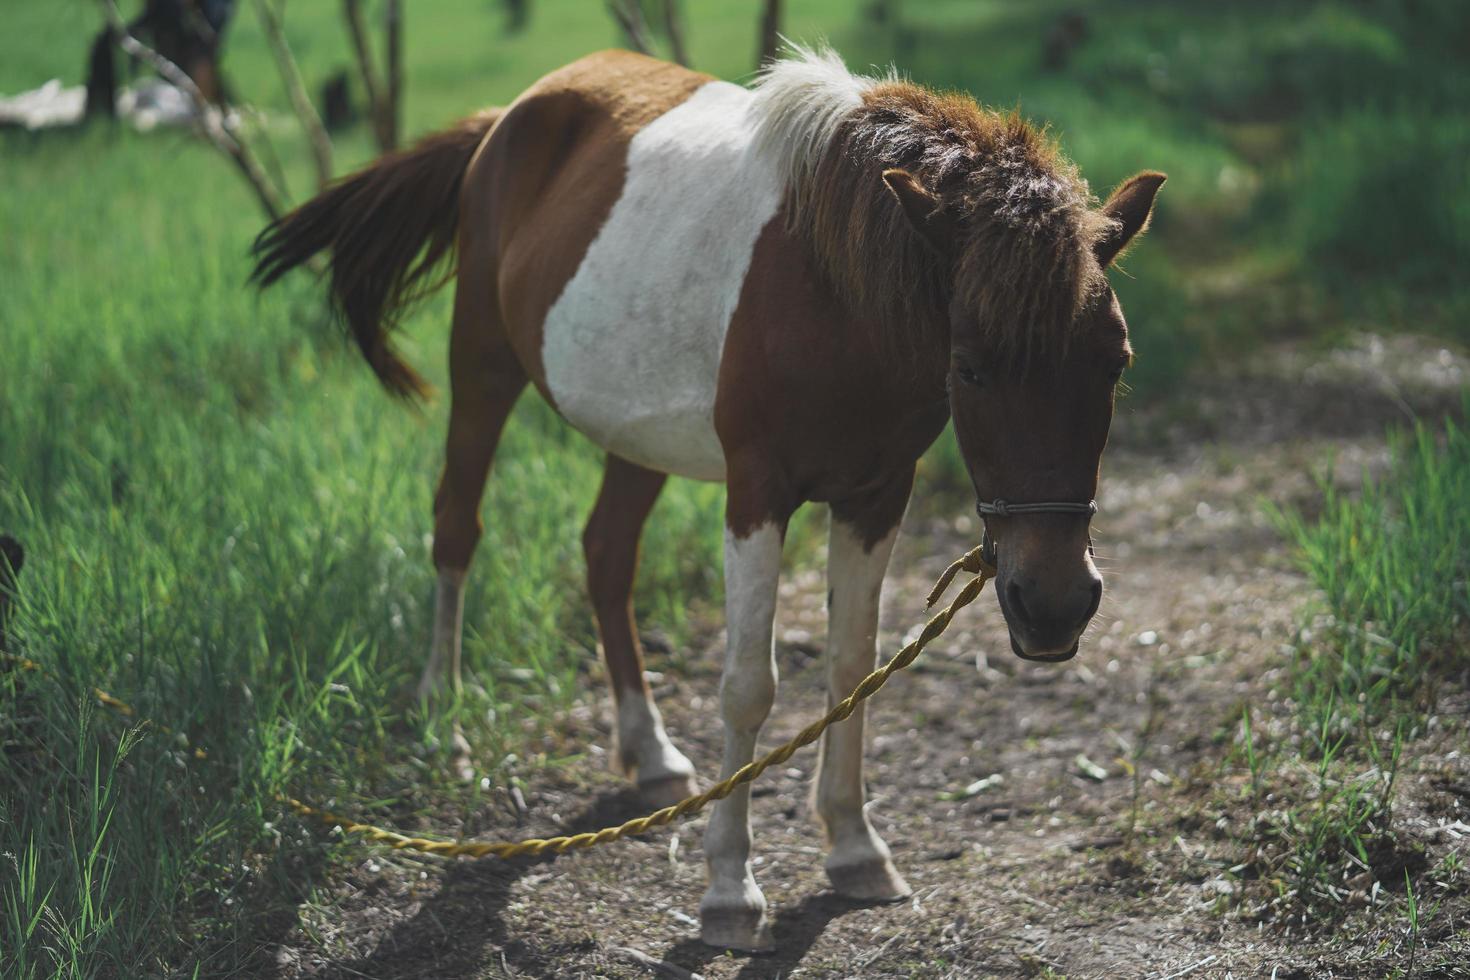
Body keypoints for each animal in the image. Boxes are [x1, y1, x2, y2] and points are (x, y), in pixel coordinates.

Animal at [255, 44, 1170, 952]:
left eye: (1115, 362)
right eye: (972, 367)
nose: (1053, 604)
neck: (834, 291)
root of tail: (506, 118)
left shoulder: (877, 494)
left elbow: (851, 665)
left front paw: (854, 848)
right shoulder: (757, 492)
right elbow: (748, 686)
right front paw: (730, 887)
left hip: (634, 436)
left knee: (606, 555)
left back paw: (651, 754)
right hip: (481, 363)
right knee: (456, 528)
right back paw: (443, 720)